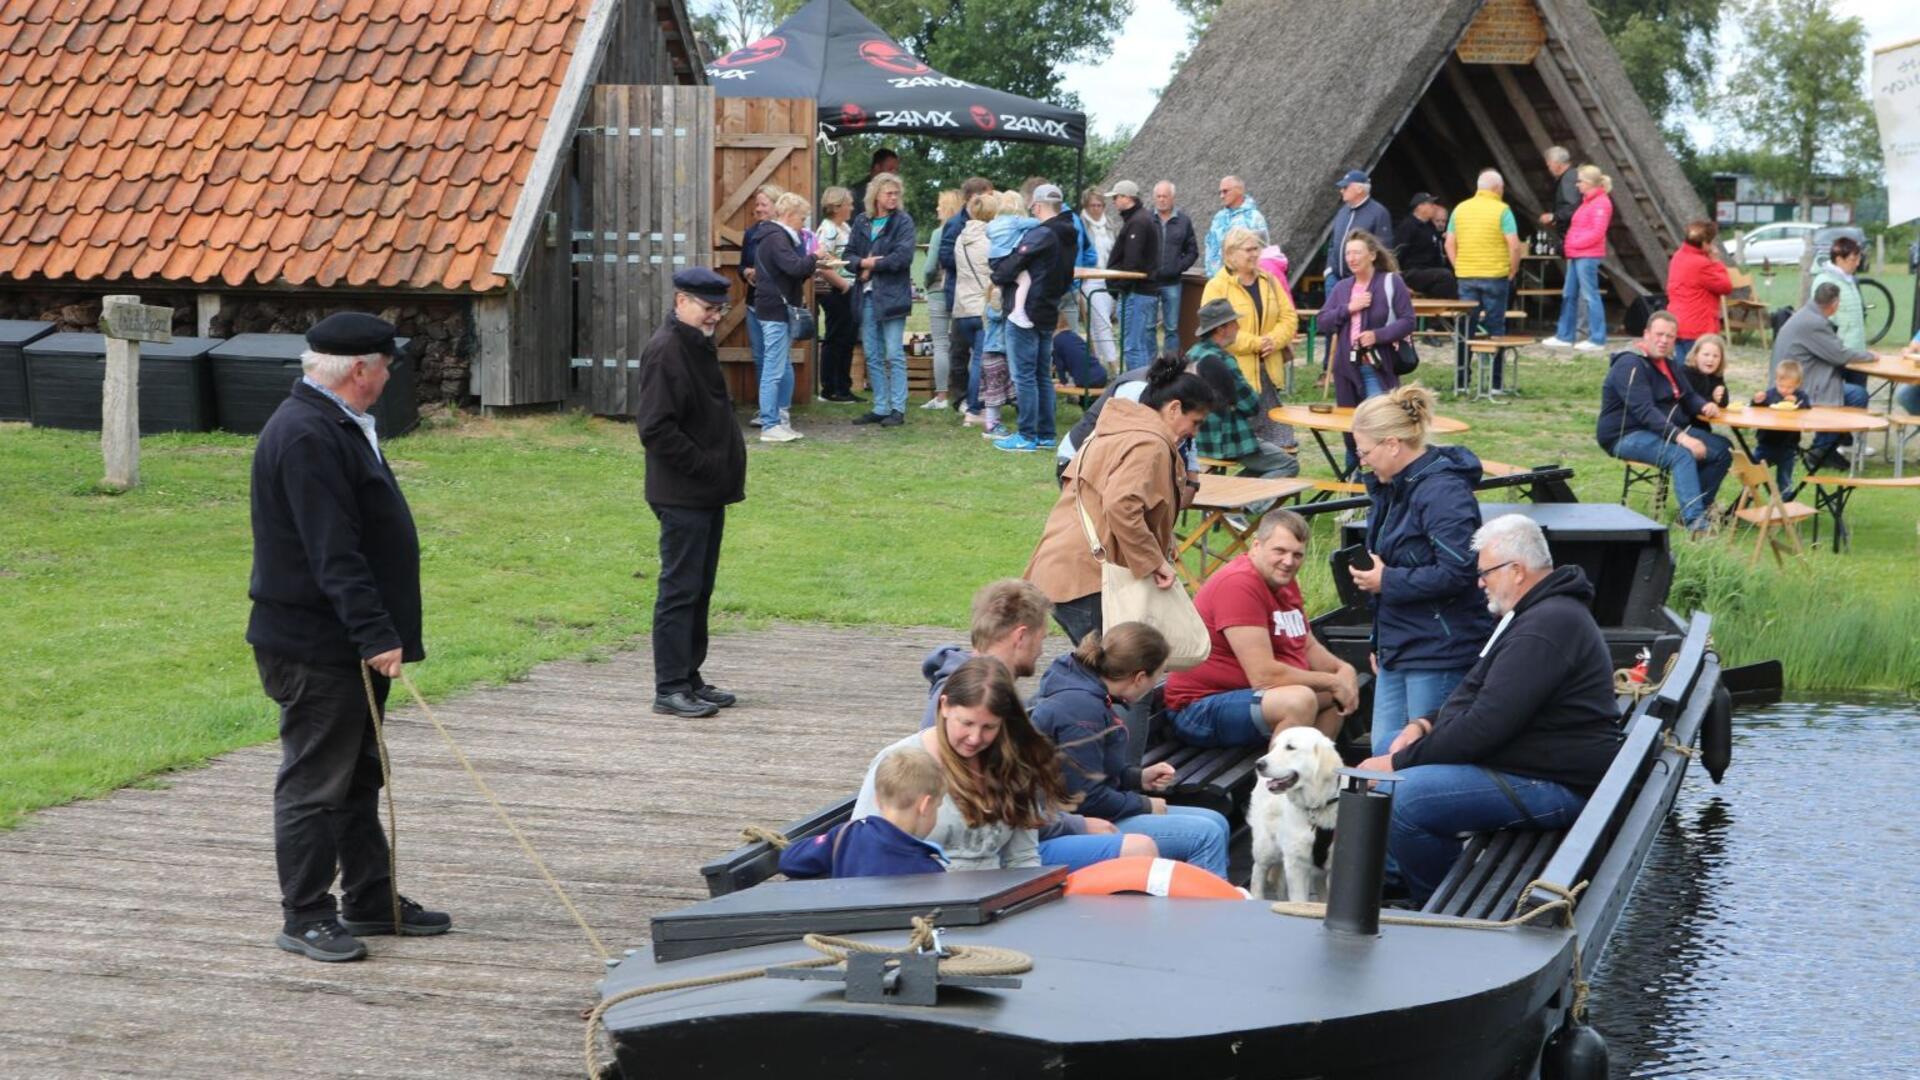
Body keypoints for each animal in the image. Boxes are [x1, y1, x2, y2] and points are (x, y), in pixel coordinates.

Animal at [1251, 722, 1344, 899]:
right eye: (1275, 746)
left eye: (1290, 747)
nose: (1258, 764)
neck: (1316, 806)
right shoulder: (1296, 865)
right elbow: (1299, 899)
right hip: (1267, 846)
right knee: (1258, 872)